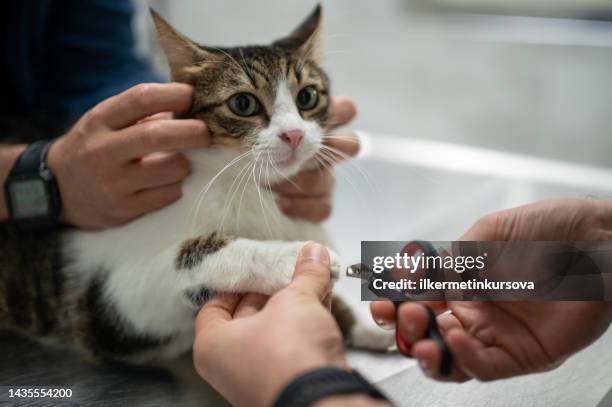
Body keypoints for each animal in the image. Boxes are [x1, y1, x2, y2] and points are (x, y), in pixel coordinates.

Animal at [0, 5, 392, 364]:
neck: (247, 188)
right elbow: (193, 254)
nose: (294, 134)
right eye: (243, 103)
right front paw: (294, 255)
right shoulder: (107, 303)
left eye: (308, 97)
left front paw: (363, 316)